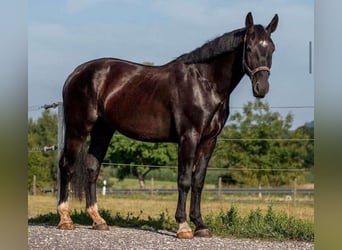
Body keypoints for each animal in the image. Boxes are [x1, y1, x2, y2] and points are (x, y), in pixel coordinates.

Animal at [57, 12, 280, 239]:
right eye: (249, 48)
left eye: (272, 48)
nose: (261, 88)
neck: (204, 83)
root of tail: (76, 73)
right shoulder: (188, 137)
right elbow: (184, 180)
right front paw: (183, 226)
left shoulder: (209, 141)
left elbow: (198, 181)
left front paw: (200, 225)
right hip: (78, 129)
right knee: (66, 166)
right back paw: (65, 219)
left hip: (103, 131)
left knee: (92, 168)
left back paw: (98, 220)